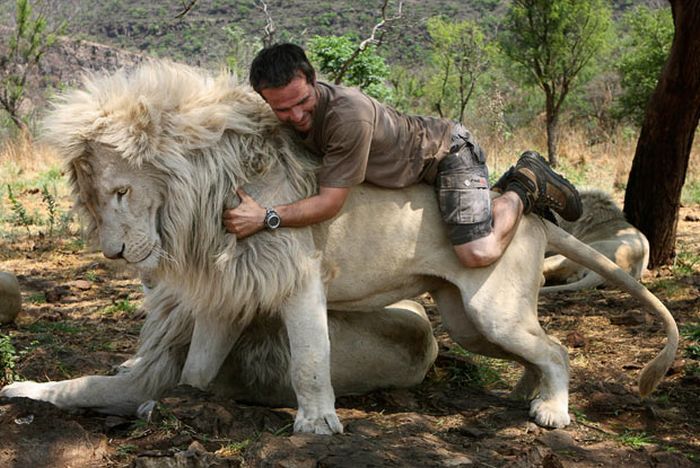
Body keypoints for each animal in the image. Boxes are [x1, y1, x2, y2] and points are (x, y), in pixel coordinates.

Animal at [0, 60, 680, 434]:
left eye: (121, 190)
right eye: (93, 200)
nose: (113, 255)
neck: (207, 195)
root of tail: (533, 222)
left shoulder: (296, 274)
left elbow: (309, 357)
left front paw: (318, 423)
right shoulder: (232, 287)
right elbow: (194, 369)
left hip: (490, 300)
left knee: (558, 350)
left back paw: (552, 410)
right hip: (467, 320)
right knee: (536, 350)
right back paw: (526, 392)